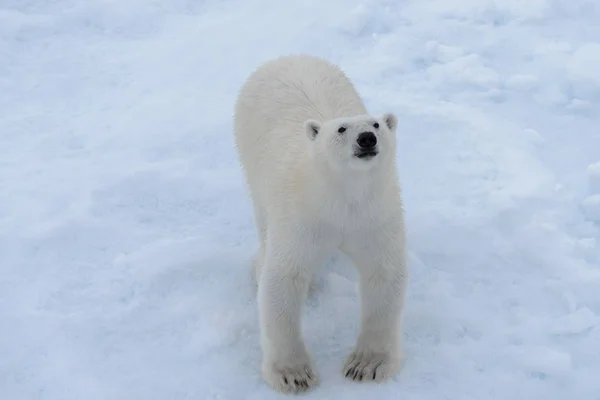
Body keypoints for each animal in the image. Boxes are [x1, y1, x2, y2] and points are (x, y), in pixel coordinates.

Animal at [233, 54, 408, 394]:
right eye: (341, 128)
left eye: (377, 124)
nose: (367, 139)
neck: (342, 197)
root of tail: (286, 57)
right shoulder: (301, 216)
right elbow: (283, 277)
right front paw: (293, 374)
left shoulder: (374, 215)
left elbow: (383, 275)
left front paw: (367, 365)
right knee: (262, 221)